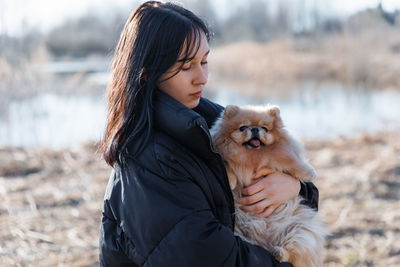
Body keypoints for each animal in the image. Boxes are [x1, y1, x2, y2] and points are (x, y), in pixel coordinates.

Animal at [209, 104, 328, 267]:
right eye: (243, 127)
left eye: (264, 128)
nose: (254, 129)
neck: (252, 156)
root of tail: (267, 243)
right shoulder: (225, 155)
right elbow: (227, 164)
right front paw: (231, 179)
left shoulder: (283, 155)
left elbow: (293, 162)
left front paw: (309, 173)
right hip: (240, 234)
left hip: (300, 230)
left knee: (291, 249)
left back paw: (279, 253)